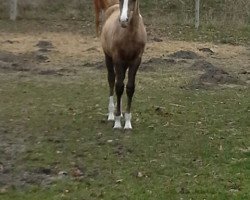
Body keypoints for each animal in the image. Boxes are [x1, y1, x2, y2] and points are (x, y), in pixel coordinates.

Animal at [94, 0, 147, 130]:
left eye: (133, 1)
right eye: (121, 1)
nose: (123, 21)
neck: (130, 34)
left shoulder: (136, 61)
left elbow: (130, 87)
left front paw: (127, 122)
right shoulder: (118, 60)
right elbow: (118, 87)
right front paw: (117, 122)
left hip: (125, 64)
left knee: (121, 81)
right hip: (109, 58)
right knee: (112, 81)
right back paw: (111, 115)